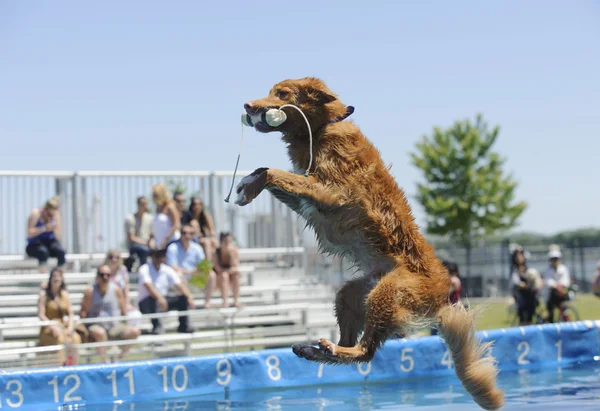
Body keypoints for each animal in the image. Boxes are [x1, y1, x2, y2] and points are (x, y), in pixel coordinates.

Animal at [237, 78, 504, 411]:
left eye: (282, 94)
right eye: (271, 91)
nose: (247, 106)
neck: (324, 128)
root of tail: (445, 296)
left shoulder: (332, 192)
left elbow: (276, 173)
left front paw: (251, 184)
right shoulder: (308, 198)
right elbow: (272, 174)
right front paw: (249, 183)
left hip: (385, 293)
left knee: (366, 351)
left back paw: (334, 350)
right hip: (352, 293)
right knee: (354, 345)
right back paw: (318, 349)